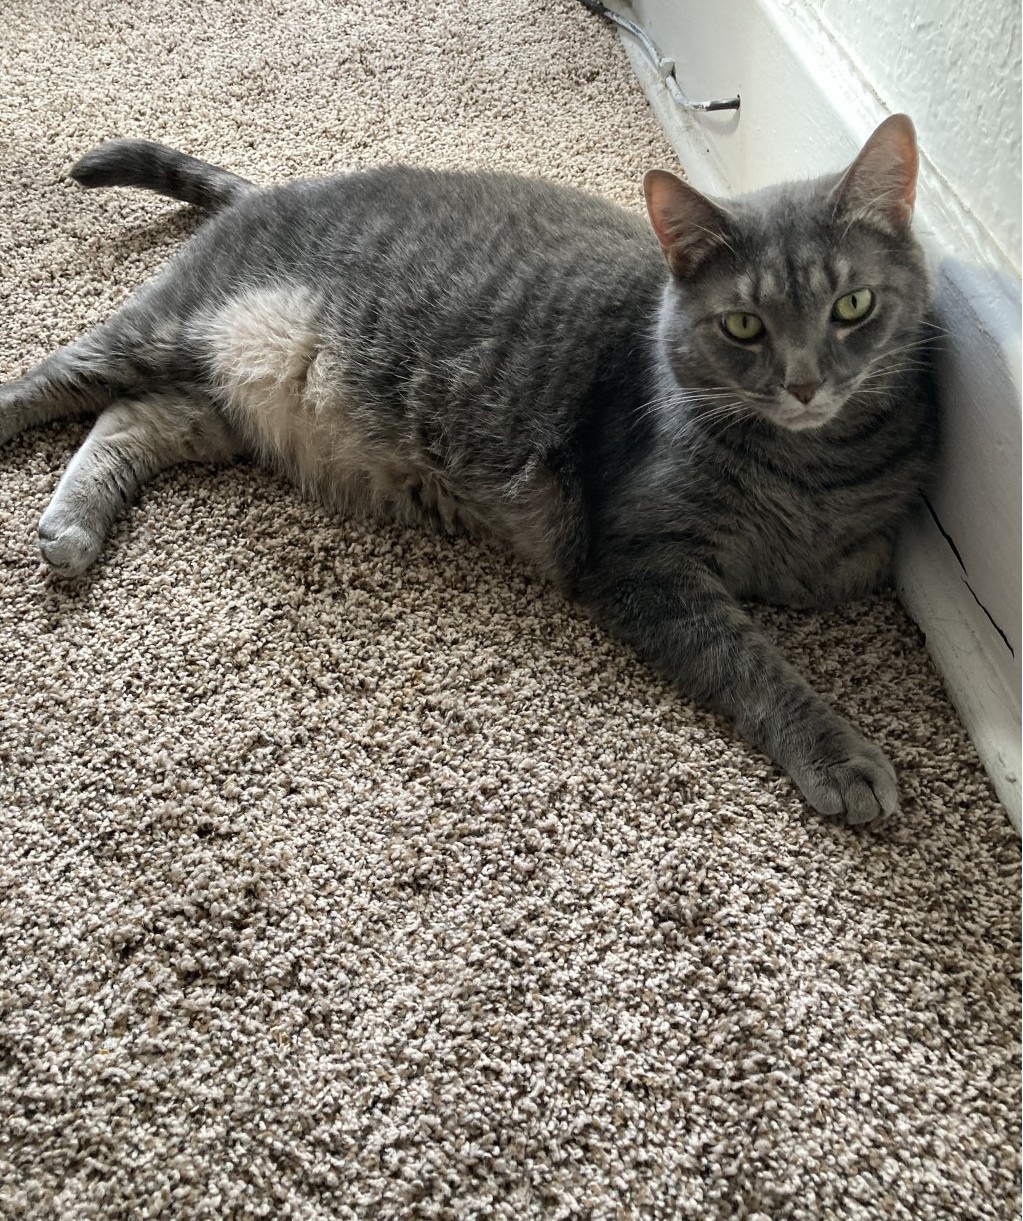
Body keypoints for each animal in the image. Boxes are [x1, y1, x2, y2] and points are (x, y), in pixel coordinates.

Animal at [0, 116, 937, 820]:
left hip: (224, 399)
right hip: (162, 332)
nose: (804, 382)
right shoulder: (642, 564)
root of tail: (269, 189)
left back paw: (71, 528)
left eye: (851, 306)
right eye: (743, 325)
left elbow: (824, 575)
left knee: (129, 421)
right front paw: (838, 750)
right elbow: (750, 660)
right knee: (52, 380)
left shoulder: (850, 562)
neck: (810, 466)